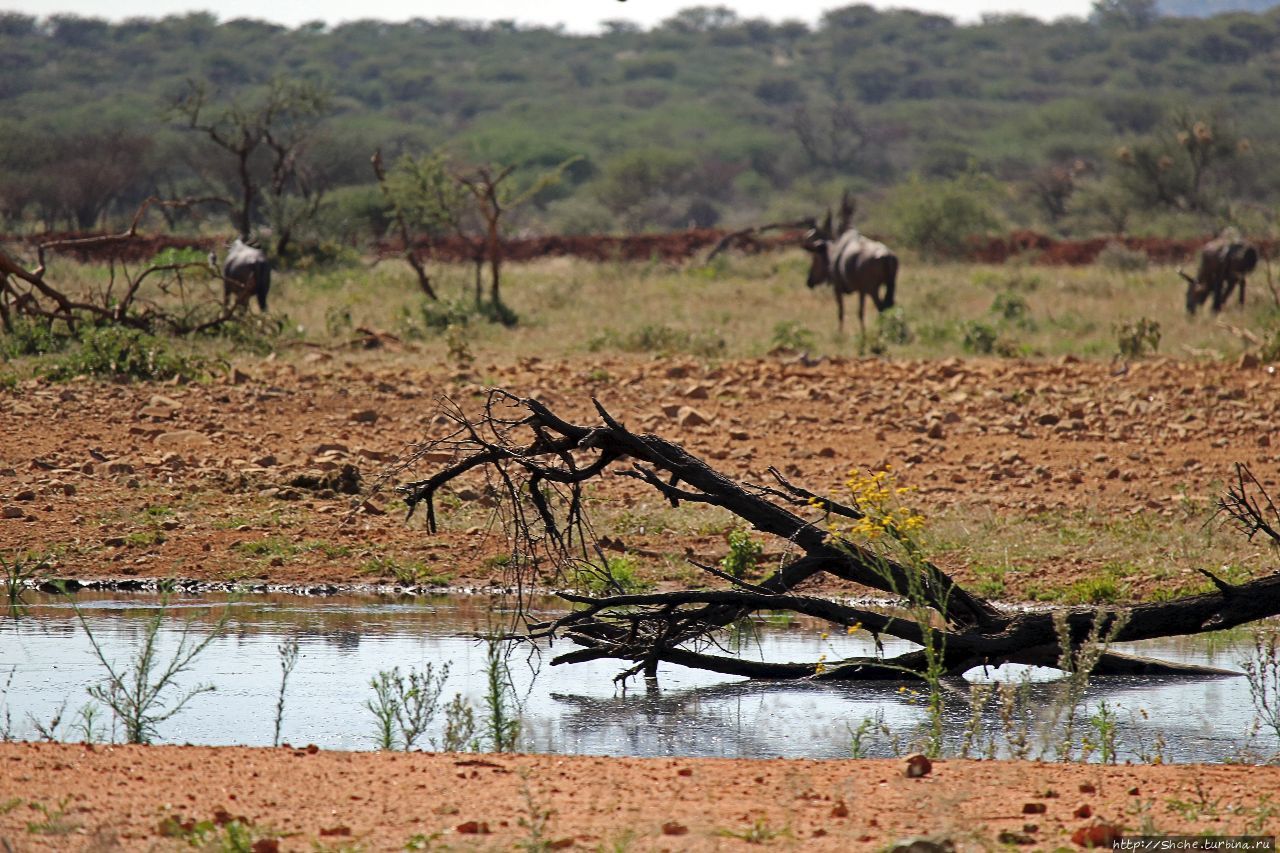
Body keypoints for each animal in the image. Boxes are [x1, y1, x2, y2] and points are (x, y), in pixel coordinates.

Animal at [798, 194, 901, 333]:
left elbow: (841, 312)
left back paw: (881, 332)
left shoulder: (837, 288)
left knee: (881, 307)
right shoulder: (861, 290)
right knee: (891, 307)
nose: (809, 281)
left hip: (873, 289)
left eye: (815, 259)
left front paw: (841, 333)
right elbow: (860, 312)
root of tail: (887, 256)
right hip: (890, 285)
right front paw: (863, 332)